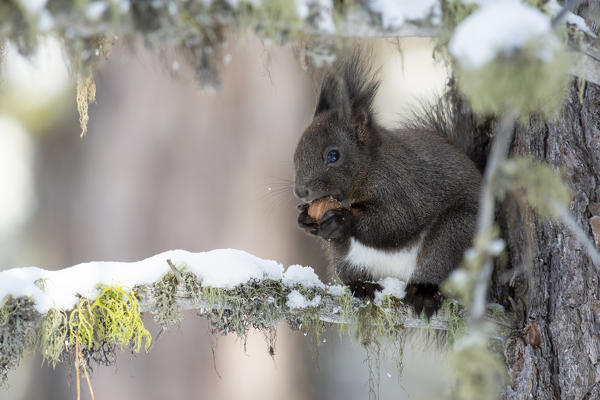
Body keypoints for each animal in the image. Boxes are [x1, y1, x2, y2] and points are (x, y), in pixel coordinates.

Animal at [292, 51, 480, 318]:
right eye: (296, 153)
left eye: (333, 155)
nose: (300, 191)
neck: (366, 170)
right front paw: (305, 219)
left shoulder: (399, 185)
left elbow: (396, 222)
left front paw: (343, 220)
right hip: (347, 262)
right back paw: (362, 286)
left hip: (454, 233)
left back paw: (424, 292)